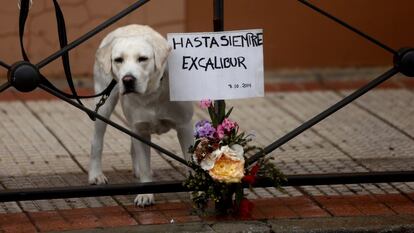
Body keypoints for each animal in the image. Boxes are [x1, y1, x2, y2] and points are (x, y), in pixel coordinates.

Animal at [90, 25, 193, 208]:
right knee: (97, 141)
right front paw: (145, 194)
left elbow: (190, 162)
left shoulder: (184, 127)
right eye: (118, 60)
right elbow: (145, 165)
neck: (150, 93)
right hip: (104, 105)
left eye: (143, 59)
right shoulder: (139, 129)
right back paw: (96, 174)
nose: (127, 79)